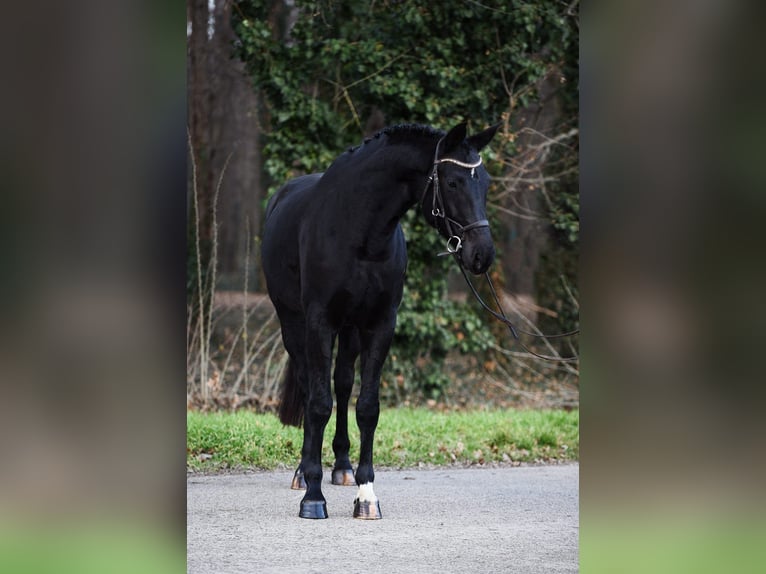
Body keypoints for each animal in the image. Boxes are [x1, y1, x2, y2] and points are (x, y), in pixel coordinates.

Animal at [260, 122, 500, 520]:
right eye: (452, 182)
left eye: (486, 182)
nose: (482, 254)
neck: (360, 232)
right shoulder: (318, 323)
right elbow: (318, 403)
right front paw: (313, 497)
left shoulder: (380, 325)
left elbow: (367, 407)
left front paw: (366, 494)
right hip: (293, 324)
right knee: (312, 388)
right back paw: (304, 470)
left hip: (350, 330)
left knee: (343, 384)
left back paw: (341, 467)